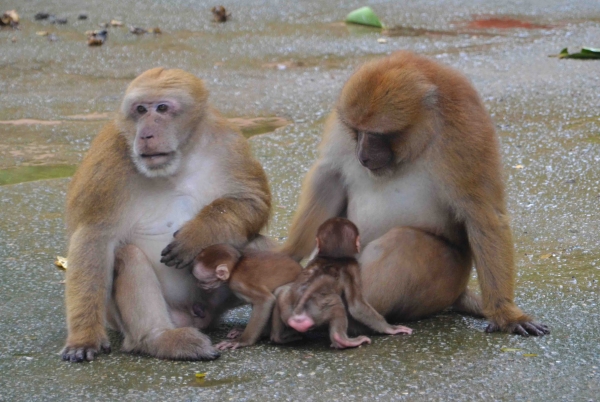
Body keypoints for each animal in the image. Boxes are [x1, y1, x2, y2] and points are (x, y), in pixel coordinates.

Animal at [61, 67, 272, 362]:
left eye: (161, 108)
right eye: (140, 109)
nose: (146, 135)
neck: (176, 162)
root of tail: (196, 316)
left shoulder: (229, 143)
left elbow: (251, 201)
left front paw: (197, 234)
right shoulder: (108, 160)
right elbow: (94, 235)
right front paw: (84, 339)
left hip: (213, 301)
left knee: (258, 243)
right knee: (126, 255)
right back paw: (159, 339)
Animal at [272, 217, 412, 348]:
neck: (334, 256)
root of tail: (297, 313)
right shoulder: (353, 267)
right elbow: (356, 306)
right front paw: (390, 328)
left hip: (286, 307)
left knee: (281, 292)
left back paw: (279, 337)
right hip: (317, 311)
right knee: (336, 305)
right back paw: (343, 340)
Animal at [282, 51, 548, 338]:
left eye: (377, 134)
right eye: (357, 130)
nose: (362, 156)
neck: (422, 135)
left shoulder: (465, 133)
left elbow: (483, 214)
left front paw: (506, 315)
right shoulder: (340, 129)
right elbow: (329, 178)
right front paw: (288, 256)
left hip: (445, 285)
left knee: (405, 241)